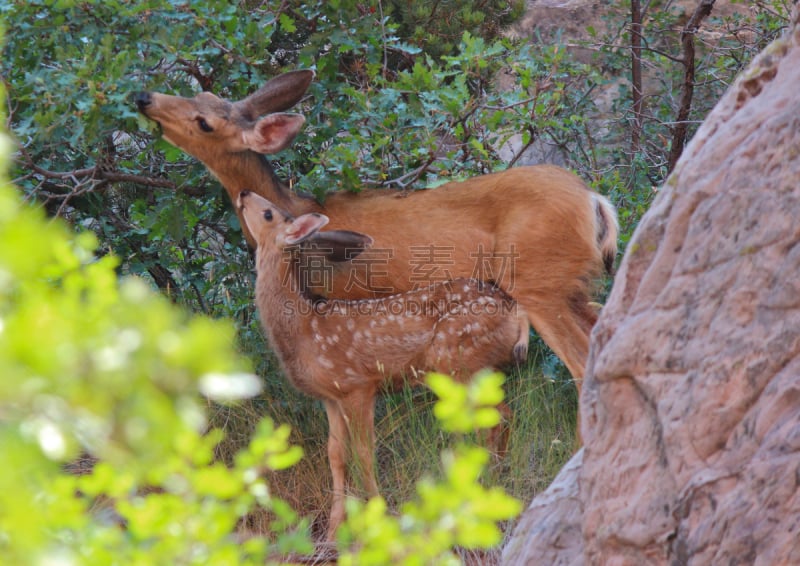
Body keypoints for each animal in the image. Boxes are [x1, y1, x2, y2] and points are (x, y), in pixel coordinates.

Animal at [134, 70, 616, 394]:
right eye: (201, 92)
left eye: (205, 122)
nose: (144, 96)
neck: (298, 209)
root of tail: (594, 201)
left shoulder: (344, 301)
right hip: (570, 285)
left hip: (537, 282)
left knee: (580, 365)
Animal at [234, 191, 528, 540]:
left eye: (268, 213)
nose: (243, 194)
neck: (304, 330)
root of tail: (516, 312)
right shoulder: (330, 396)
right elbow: (336, 455)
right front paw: (332, 531)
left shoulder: (359, 385)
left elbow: (364, 452)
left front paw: (376, 515)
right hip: (476, 369)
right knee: (501, 416)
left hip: (456, 360)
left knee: (494, 419)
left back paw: (486, 485)